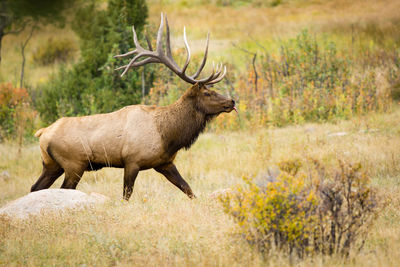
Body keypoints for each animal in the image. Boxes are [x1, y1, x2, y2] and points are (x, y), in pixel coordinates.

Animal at [33, 13, 238, 200]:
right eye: (207, 93)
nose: (231, 101)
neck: (168, 135)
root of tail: (42, 133)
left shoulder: (165, 163)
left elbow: (188, 190)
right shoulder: (132, 161)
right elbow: (126, 195)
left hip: (51, 164)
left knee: (35, 187)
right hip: (74, 164)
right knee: (64, 188)